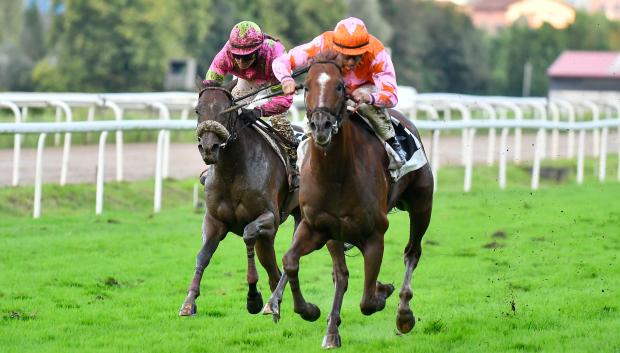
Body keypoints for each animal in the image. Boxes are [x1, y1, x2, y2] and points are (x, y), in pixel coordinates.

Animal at [178, 80, 300, 316]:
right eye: (197, 110)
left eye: (226, 110)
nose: (209, 148)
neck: (232, 172)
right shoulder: (214, 220)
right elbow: (203, 255)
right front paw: (189, 302)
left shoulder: (270, 218)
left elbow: (248, 234)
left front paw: (253, 298)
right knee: (273, 267)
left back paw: (273, 302)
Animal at [266, 56, 432, 348]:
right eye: (306, 86)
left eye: (340, 86)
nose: (321, 126)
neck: (337, 175)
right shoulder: (317, 227)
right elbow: (291, 261)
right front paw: (308, 310)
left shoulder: (375, 235)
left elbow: (367, 301)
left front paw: (383, 292)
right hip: (335, 235)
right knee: (340, 275)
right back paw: (332, 328)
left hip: (422, 204)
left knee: (412, 252)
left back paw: (404, 313)